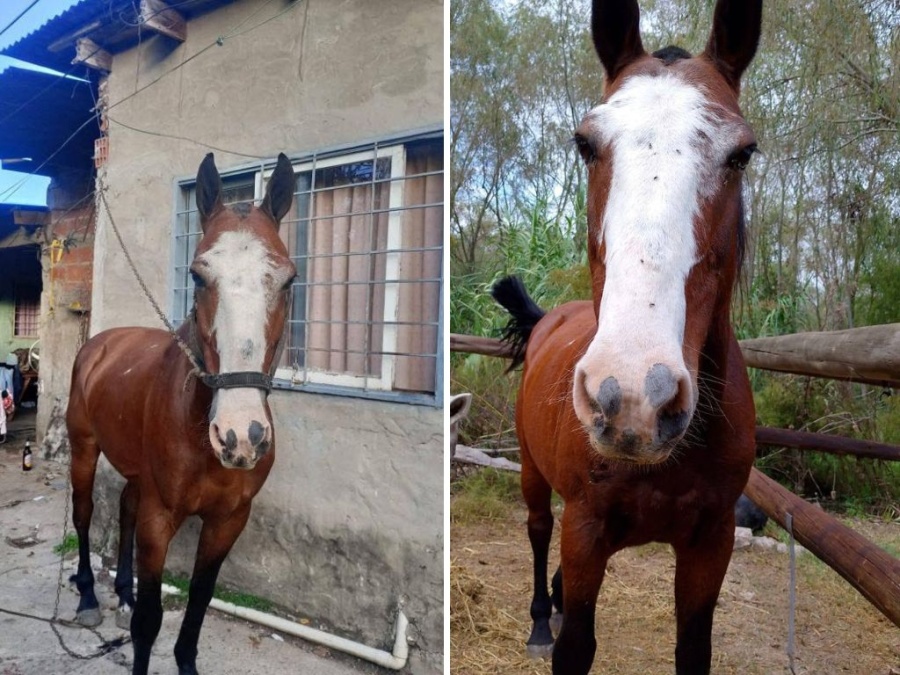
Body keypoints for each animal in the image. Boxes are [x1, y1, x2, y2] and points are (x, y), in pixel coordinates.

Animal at [66, 152, 296, 675]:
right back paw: (88, 596)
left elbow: (199, 599)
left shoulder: (229, 520)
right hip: (83, 450)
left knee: (125, 508)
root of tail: (100, 344)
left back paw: (121, 591)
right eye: (197, 276)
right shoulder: (160, 517)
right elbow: (150, 621)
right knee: (83, 514)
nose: (241, 436)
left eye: (289, 279)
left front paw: (185, 659)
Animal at [491, 1, 762, 672]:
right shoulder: (586, 531)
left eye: (743, 153)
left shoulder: (711, 544)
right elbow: (575, 647)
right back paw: (541, 619)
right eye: (585, 144)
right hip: (534, 477)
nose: (636, 395)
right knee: (539, 533)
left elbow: (693, 651)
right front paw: (553, 628)